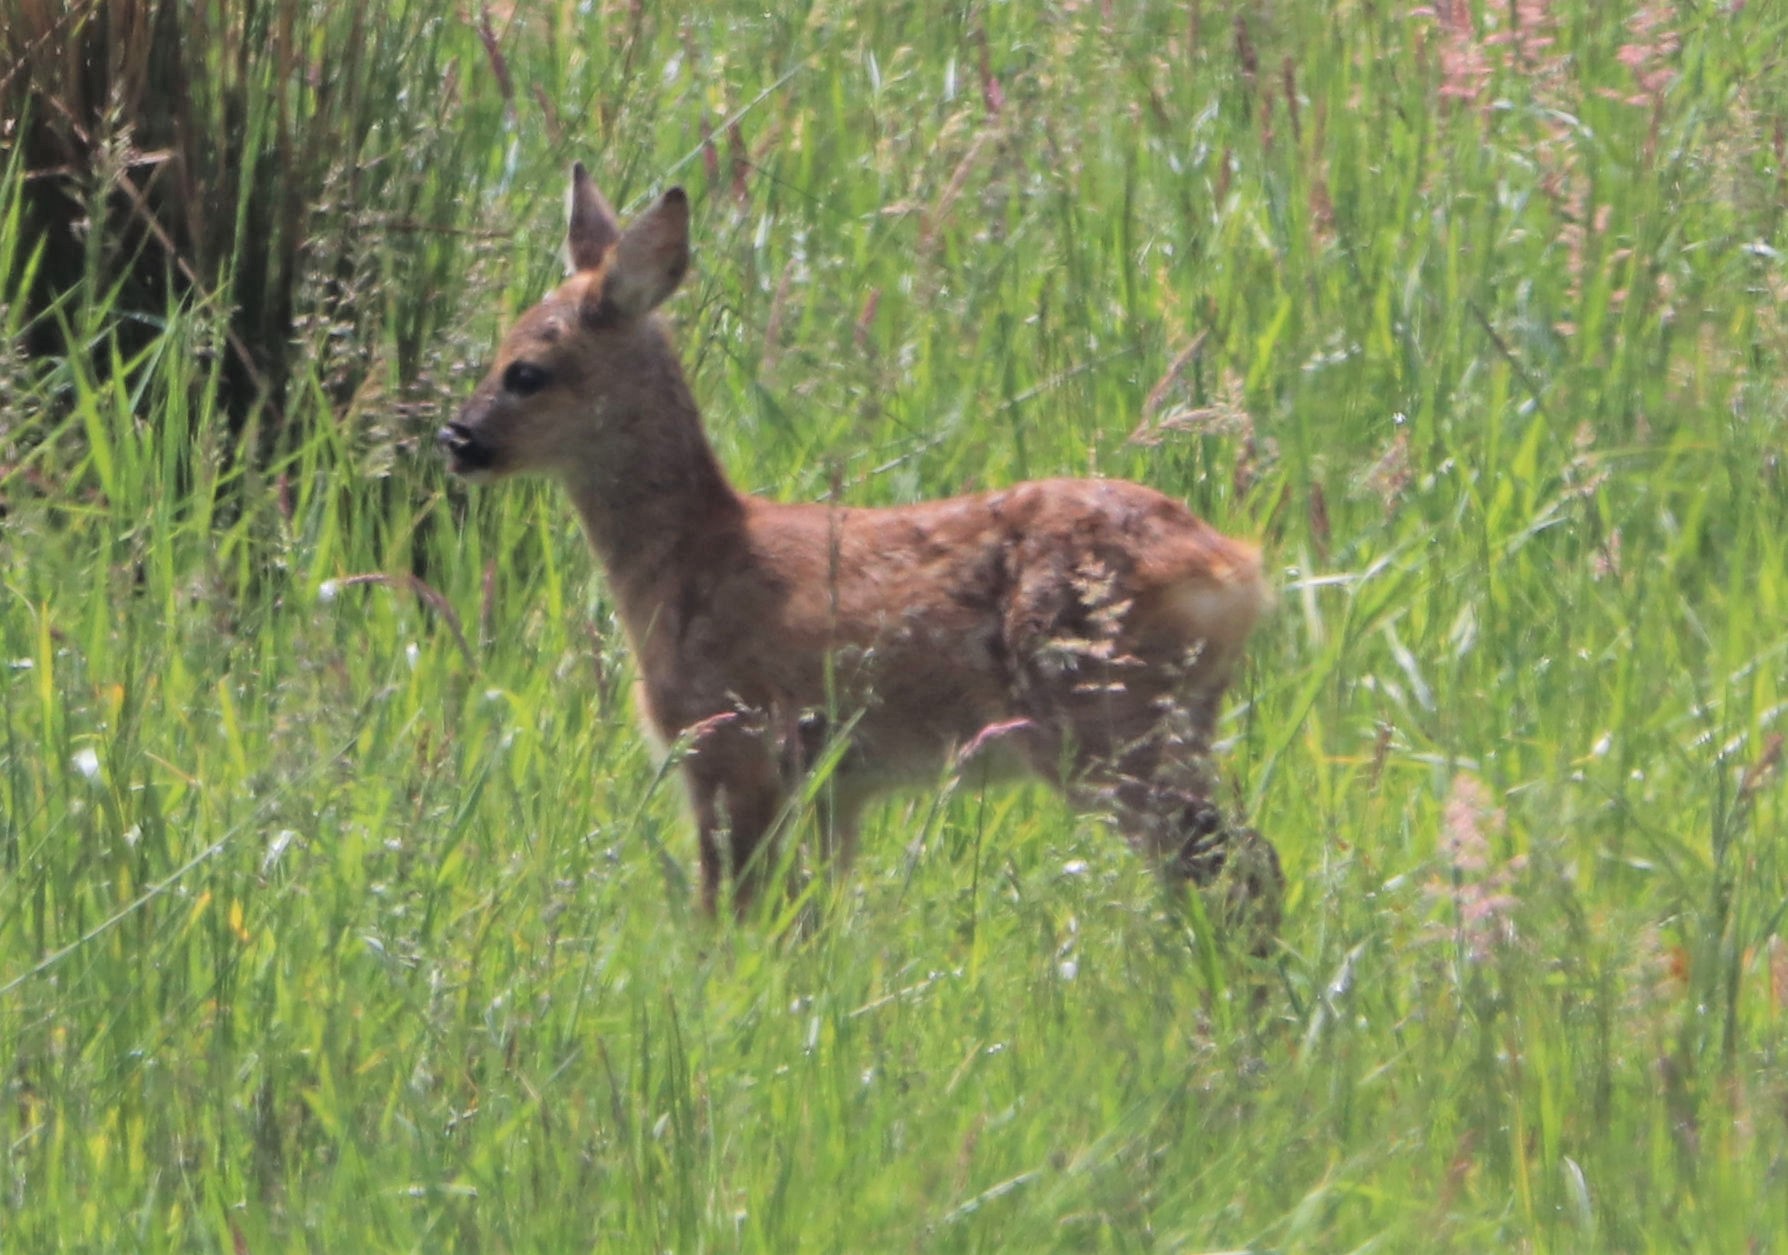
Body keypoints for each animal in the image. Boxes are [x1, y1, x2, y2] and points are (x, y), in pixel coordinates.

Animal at [439, 164, 1282, 937]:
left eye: (527, 371)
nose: (457, 437)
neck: (690, 559)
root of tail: (1236, 568)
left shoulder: (729, 741)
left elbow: (728, 911)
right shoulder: (834, 785)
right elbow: (813, 919)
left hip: (1107, 714)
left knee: (1235, 865)